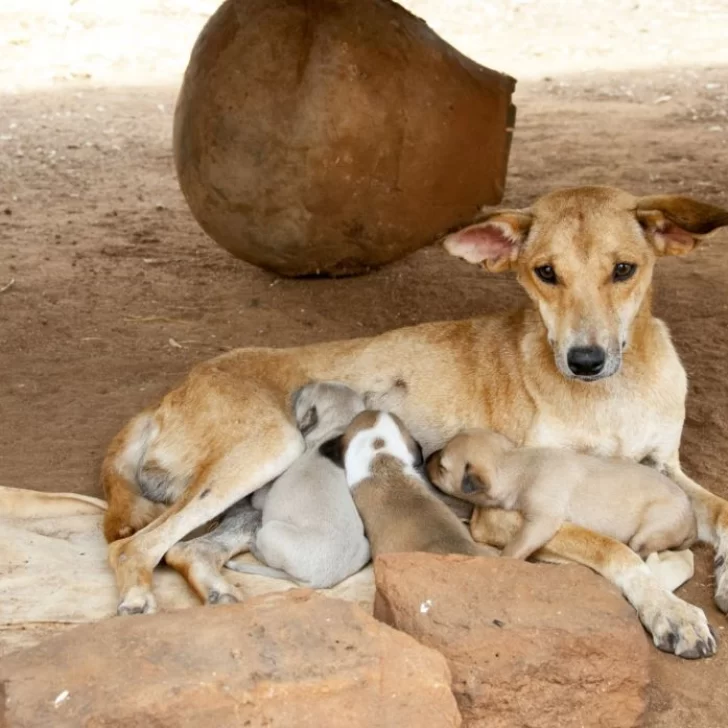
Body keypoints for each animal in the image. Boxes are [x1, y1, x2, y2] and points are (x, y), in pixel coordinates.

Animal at [225, 384, 370, 588]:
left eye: (302, 397)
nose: (298, 387)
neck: (337, 429)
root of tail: (317, 581)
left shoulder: (262, 498)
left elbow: (257, 496)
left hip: (272, 531)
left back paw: (254, 544)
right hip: (366, 547)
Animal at [430, 430, 696, 560]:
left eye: (442, 468)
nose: (428, 456)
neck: (516, 463)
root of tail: (691, 523)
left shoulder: (542, 521)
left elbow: (516, 546)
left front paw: (505, 557)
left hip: (649, 531)